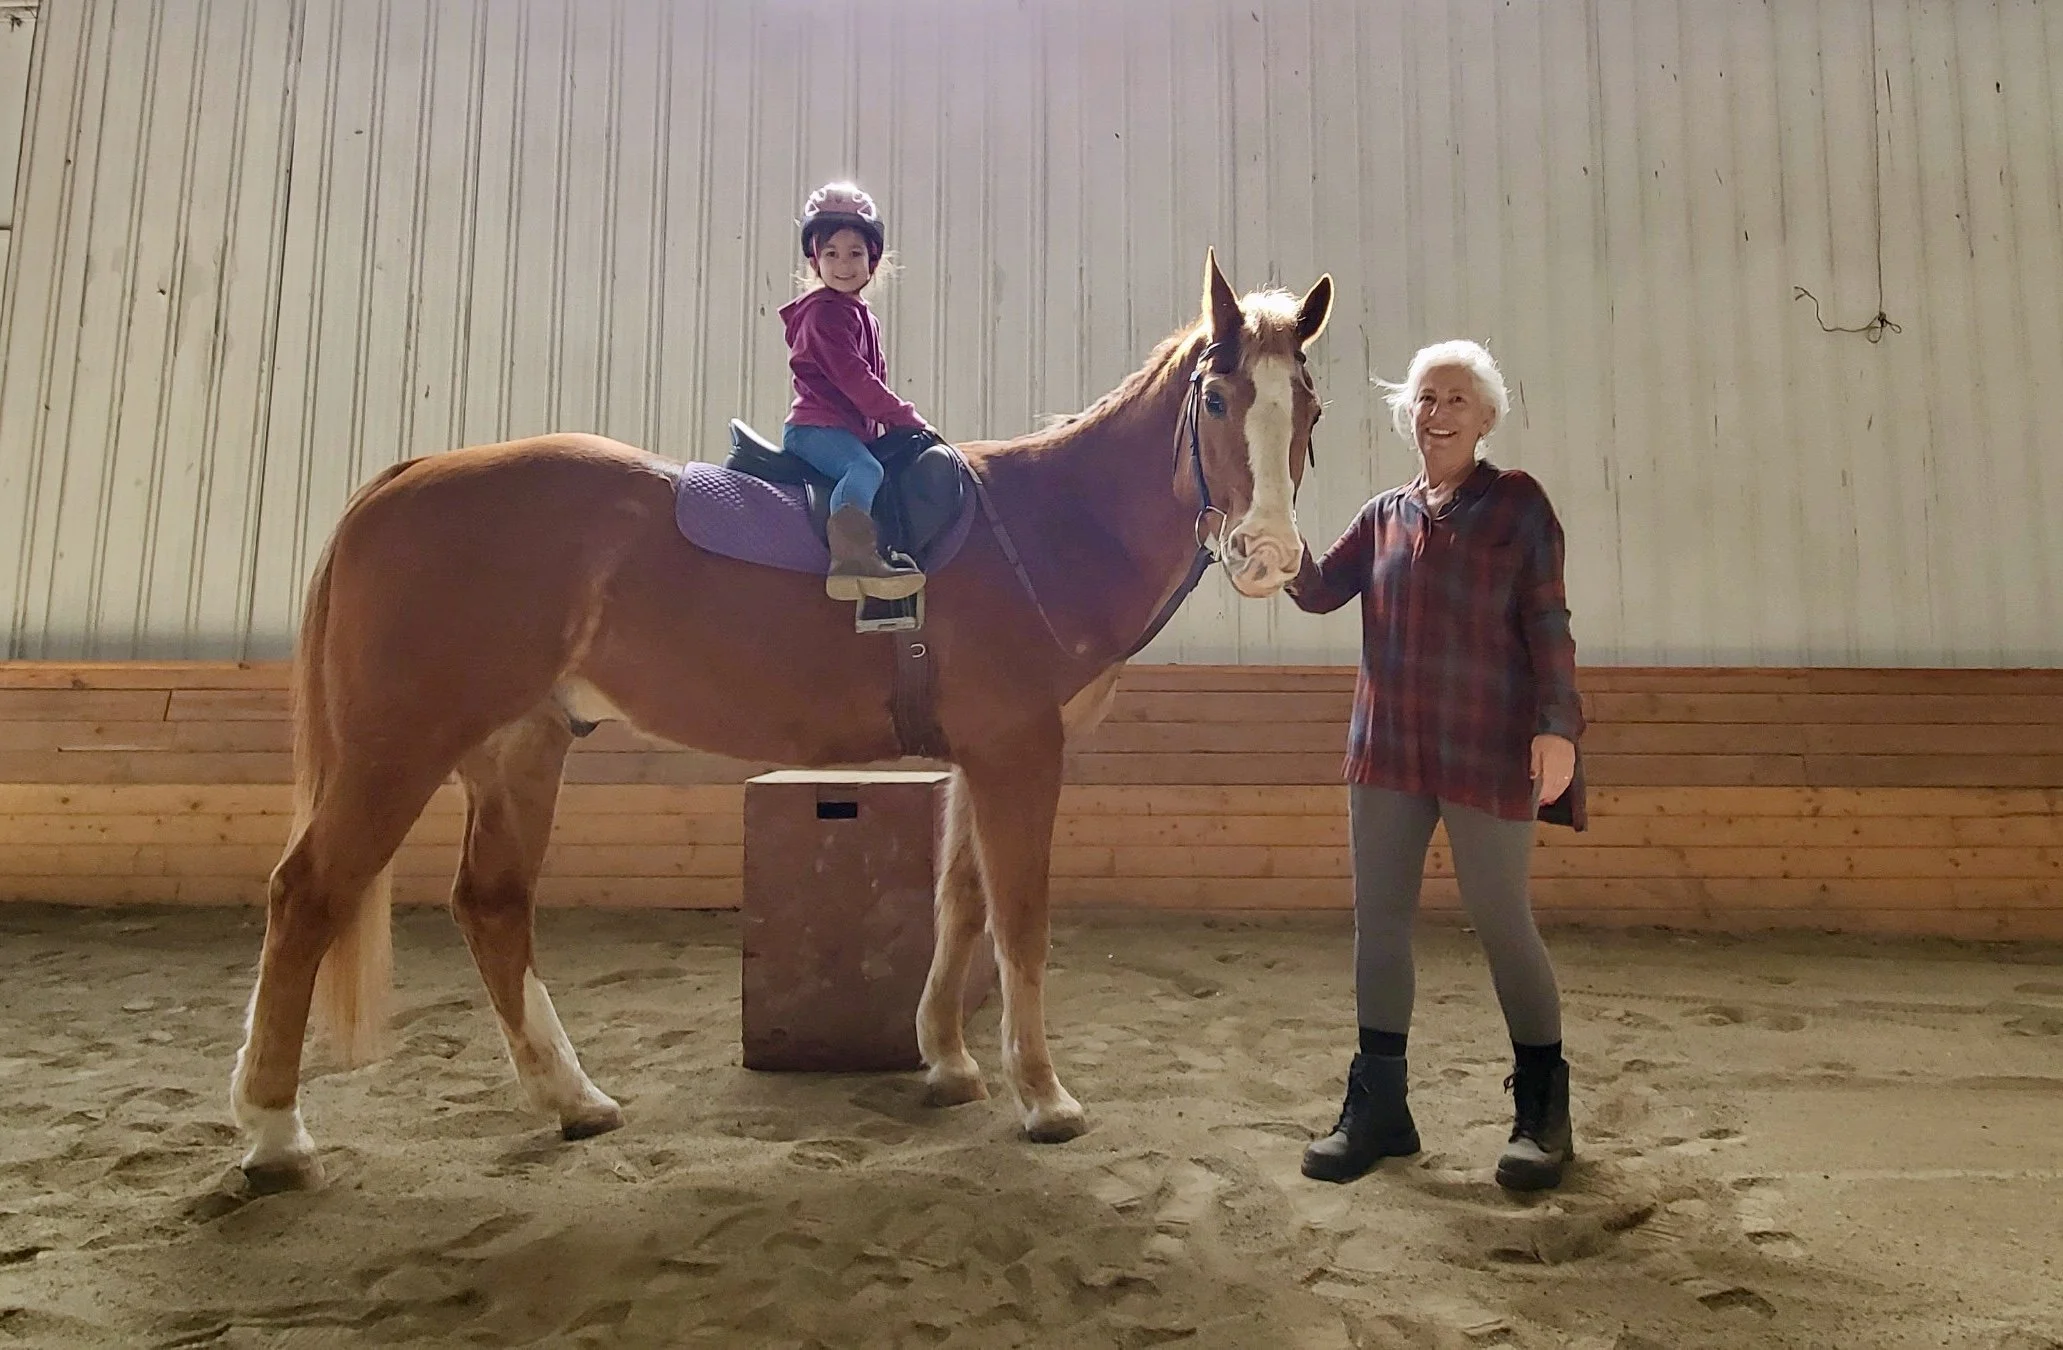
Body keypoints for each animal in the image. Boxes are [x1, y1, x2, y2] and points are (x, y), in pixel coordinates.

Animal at [228, 249, 1333, 1190]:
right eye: (1217, 398)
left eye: (1309, 406)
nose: (1270, 555)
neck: (1049, 525)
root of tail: (404, 479)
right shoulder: (1020, 753)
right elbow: (1019, 917)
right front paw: (1043, 1097)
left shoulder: (980, 757)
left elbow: (959, 905)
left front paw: (947, 1062)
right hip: (396, 752)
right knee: (306, 897)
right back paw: (276, 1135)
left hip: (517, 747)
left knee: (492, 906)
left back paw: (571, 1098)